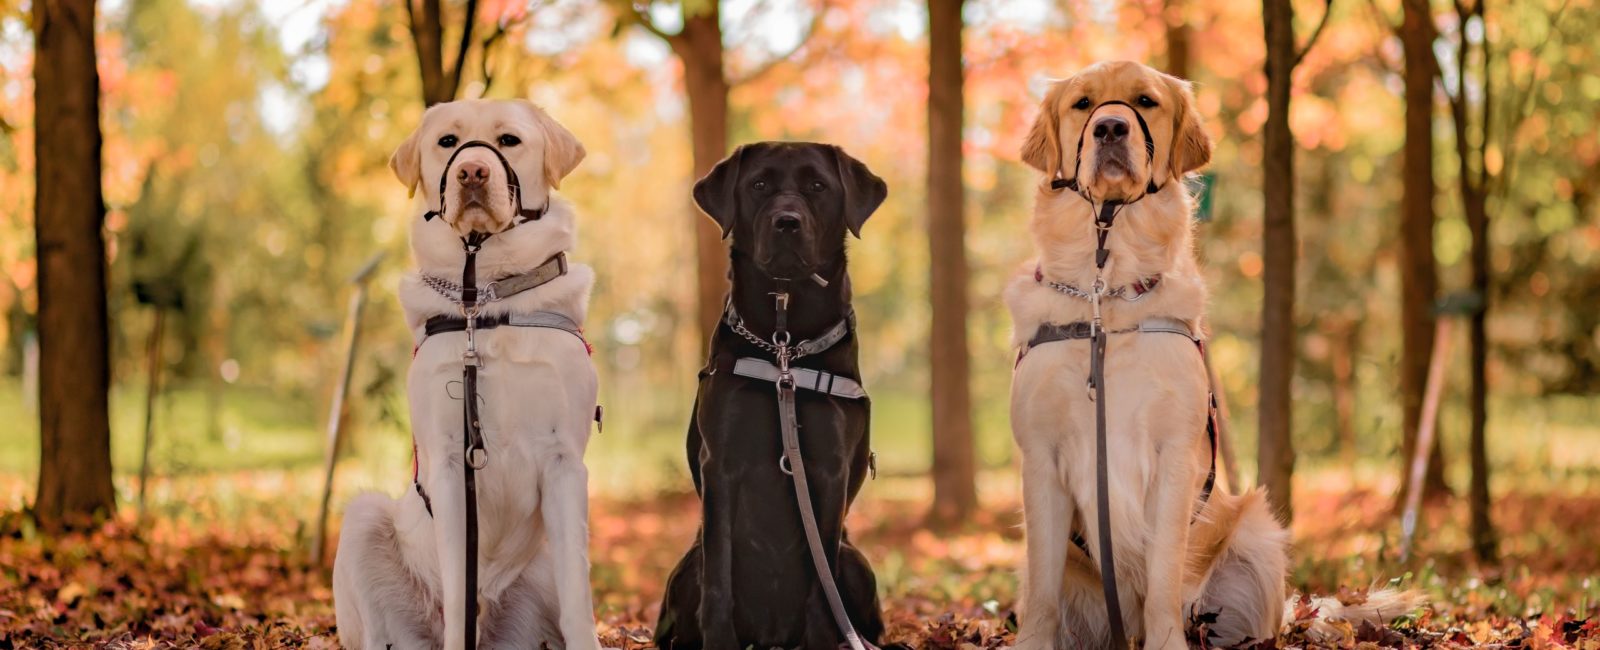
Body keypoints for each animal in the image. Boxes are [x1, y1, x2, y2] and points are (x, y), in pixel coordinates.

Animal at [334, 98, 601, 646]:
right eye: (448, 142)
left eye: (509, 141)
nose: (472, 172)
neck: (487, 298)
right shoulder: (450, 463)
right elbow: (459, 592)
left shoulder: (565, 462)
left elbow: (578, 598)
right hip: (362, 519)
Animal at [656, 143, 896, 650]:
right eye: (759, 185)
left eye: (818, 186)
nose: (787, 222)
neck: (785, 340)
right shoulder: (721, 462)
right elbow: (719, 579)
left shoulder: (828, 469)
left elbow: (821, 587)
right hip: (687, 565)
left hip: (856, 561)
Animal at [1004, 63, 1420, 650]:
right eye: (1082, 104)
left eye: (1145, 101)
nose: (1110, 127)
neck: (1106, 293)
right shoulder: (1041, 456)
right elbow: (1041, 589)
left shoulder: (1175, 455)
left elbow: (1161, 577)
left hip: (1257, 529)